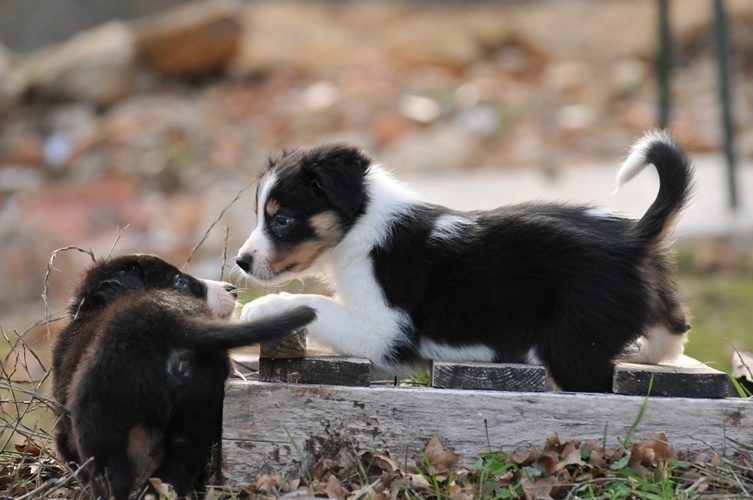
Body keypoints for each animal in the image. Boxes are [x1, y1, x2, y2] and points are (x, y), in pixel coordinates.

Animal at [52, 256, 312, 500]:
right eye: (179, 282)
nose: (233, 289)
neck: (90, 309)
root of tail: (173, 323)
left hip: (96, 420)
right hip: (196, 413)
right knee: (171, 474)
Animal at [236, 132, 692, 394]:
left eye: (281, 219)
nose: (240, 262)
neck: (362, 224)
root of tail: (632, 239)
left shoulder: (386, 333)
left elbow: (317, 305)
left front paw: (258, 308)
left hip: (573, 345)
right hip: (652, 310)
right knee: (672, 335)